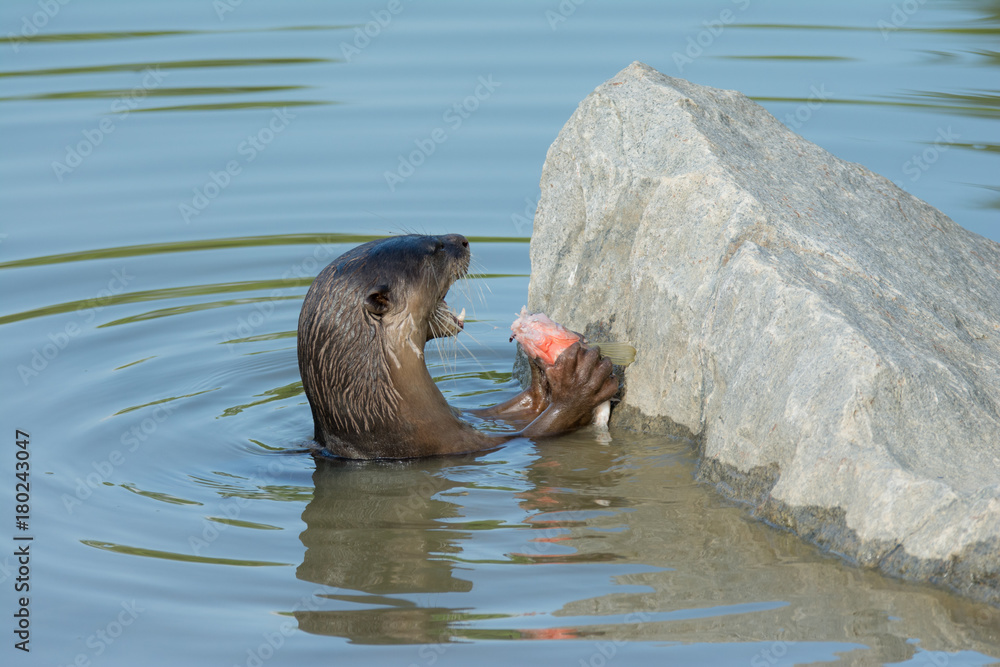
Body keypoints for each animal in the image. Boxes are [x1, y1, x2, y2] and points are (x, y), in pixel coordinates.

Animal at [297, 233, 617, 459]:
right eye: (434, 248)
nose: (462, 239)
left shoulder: (458, 416)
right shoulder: (450, 444)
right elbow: (533, 433)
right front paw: (578, 382)